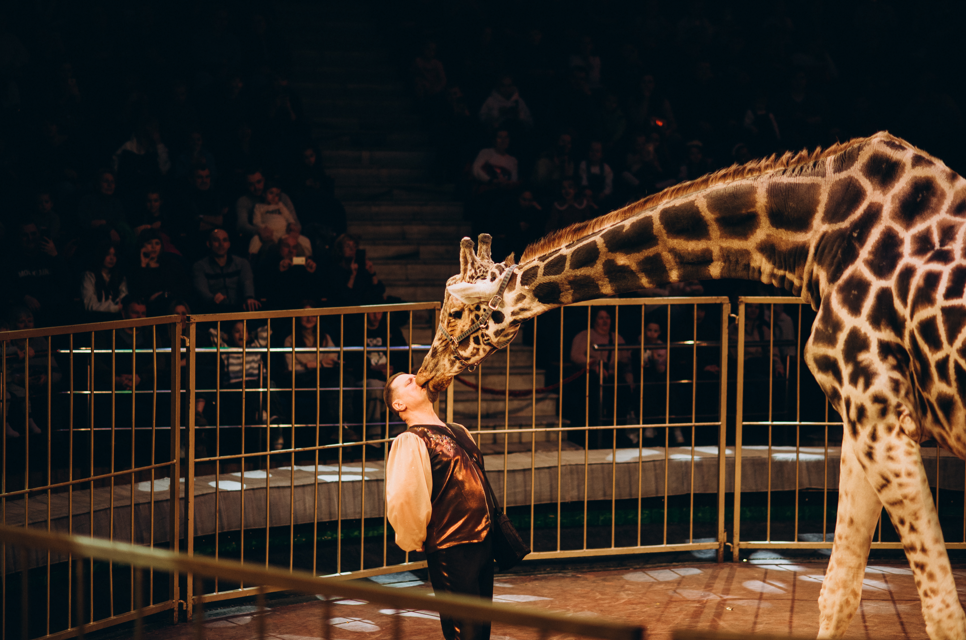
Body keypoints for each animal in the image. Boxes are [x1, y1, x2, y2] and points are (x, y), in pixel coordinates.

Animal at [416, 131, 966, 639]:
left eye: (456, 313)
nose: (424, 375)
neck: (812, 239)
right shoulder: (867, 413)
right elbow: (839, 592)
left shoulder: (877, 410)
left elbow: (942, 612)